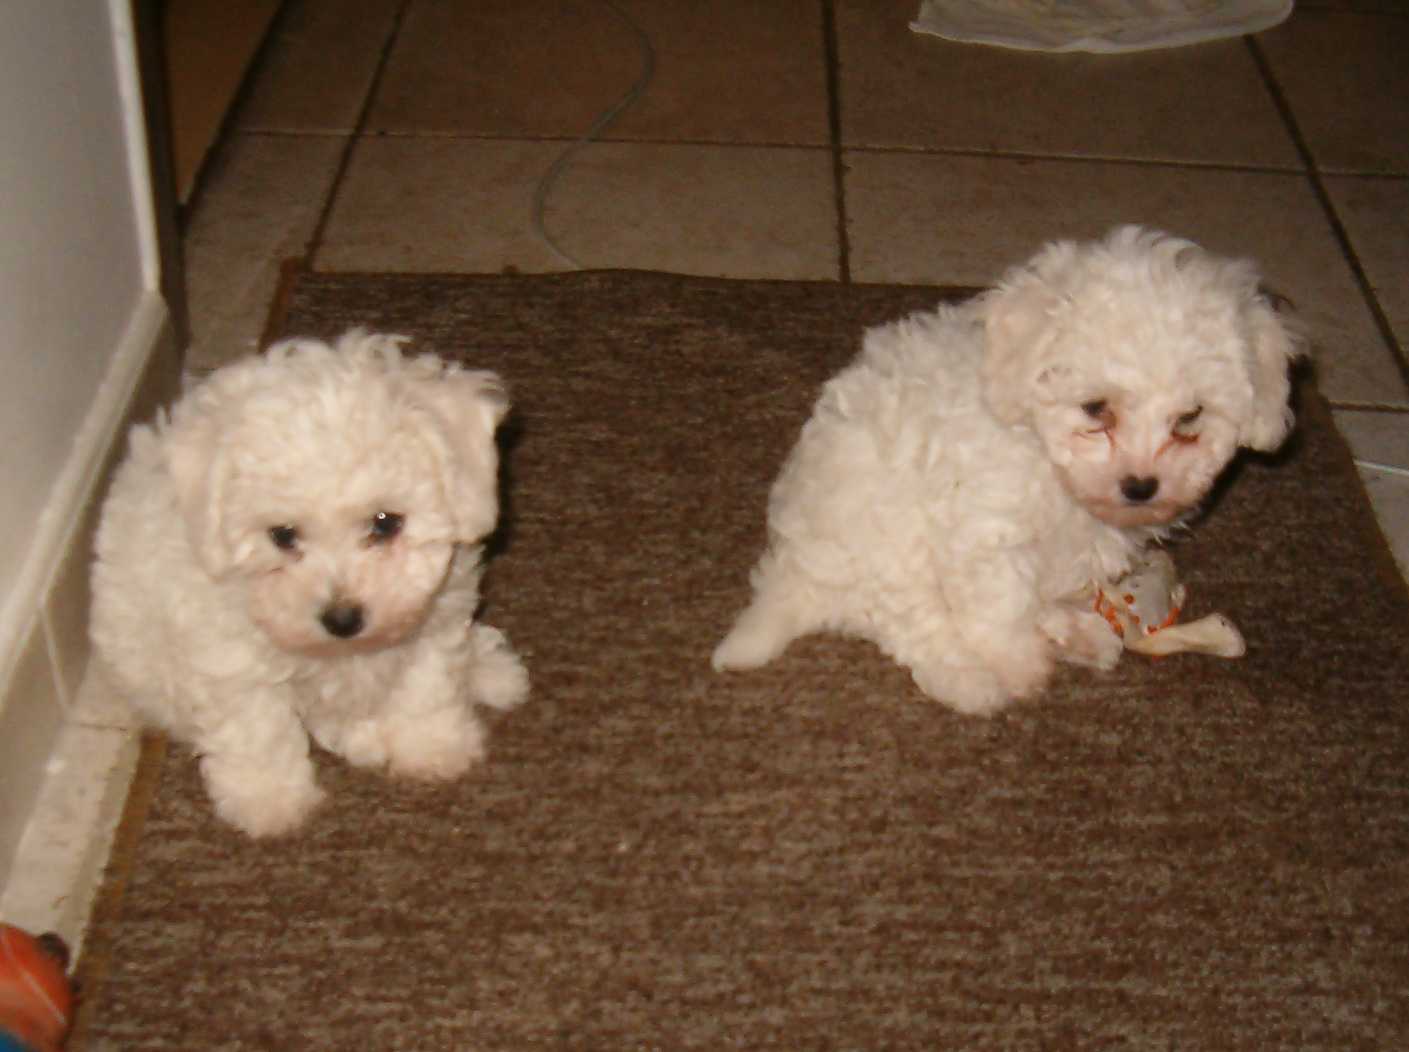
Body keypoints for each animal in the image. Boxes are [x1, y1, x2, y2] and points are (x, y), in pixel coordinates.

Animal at [91, 330, 528, 837]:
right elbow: (256, 728)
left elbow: (427, 684)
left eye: (385, 523)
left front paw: (433, 746)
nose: (342, 619)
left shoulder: (434, 618)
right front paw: (269, 800)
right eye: (282, 535)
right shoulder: (228, 658)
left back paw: (490, 670)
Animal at [713, 226, 1302, 714]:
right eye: (1096, 409)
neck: (1045, 455)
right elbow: (1001, 603)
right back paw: (972, 683)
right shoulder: (983, 525)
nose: (1140, 487)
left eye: (1189, 418)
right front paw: (1018, 665)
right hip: (885, 542)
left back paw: (1080, 634)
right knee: (912, 620)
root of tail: (791, 577)